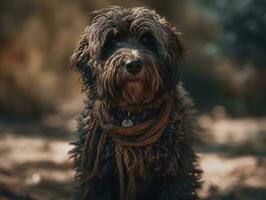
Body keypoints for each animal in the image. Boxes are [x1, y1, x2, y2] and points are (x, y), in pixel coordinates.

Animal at [69, 6, 201, 200]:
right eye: (111, 40)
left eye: (146, 40)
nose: (133, 65)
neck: (131, 113)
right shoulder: (97, 177)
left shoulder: (175, 172)